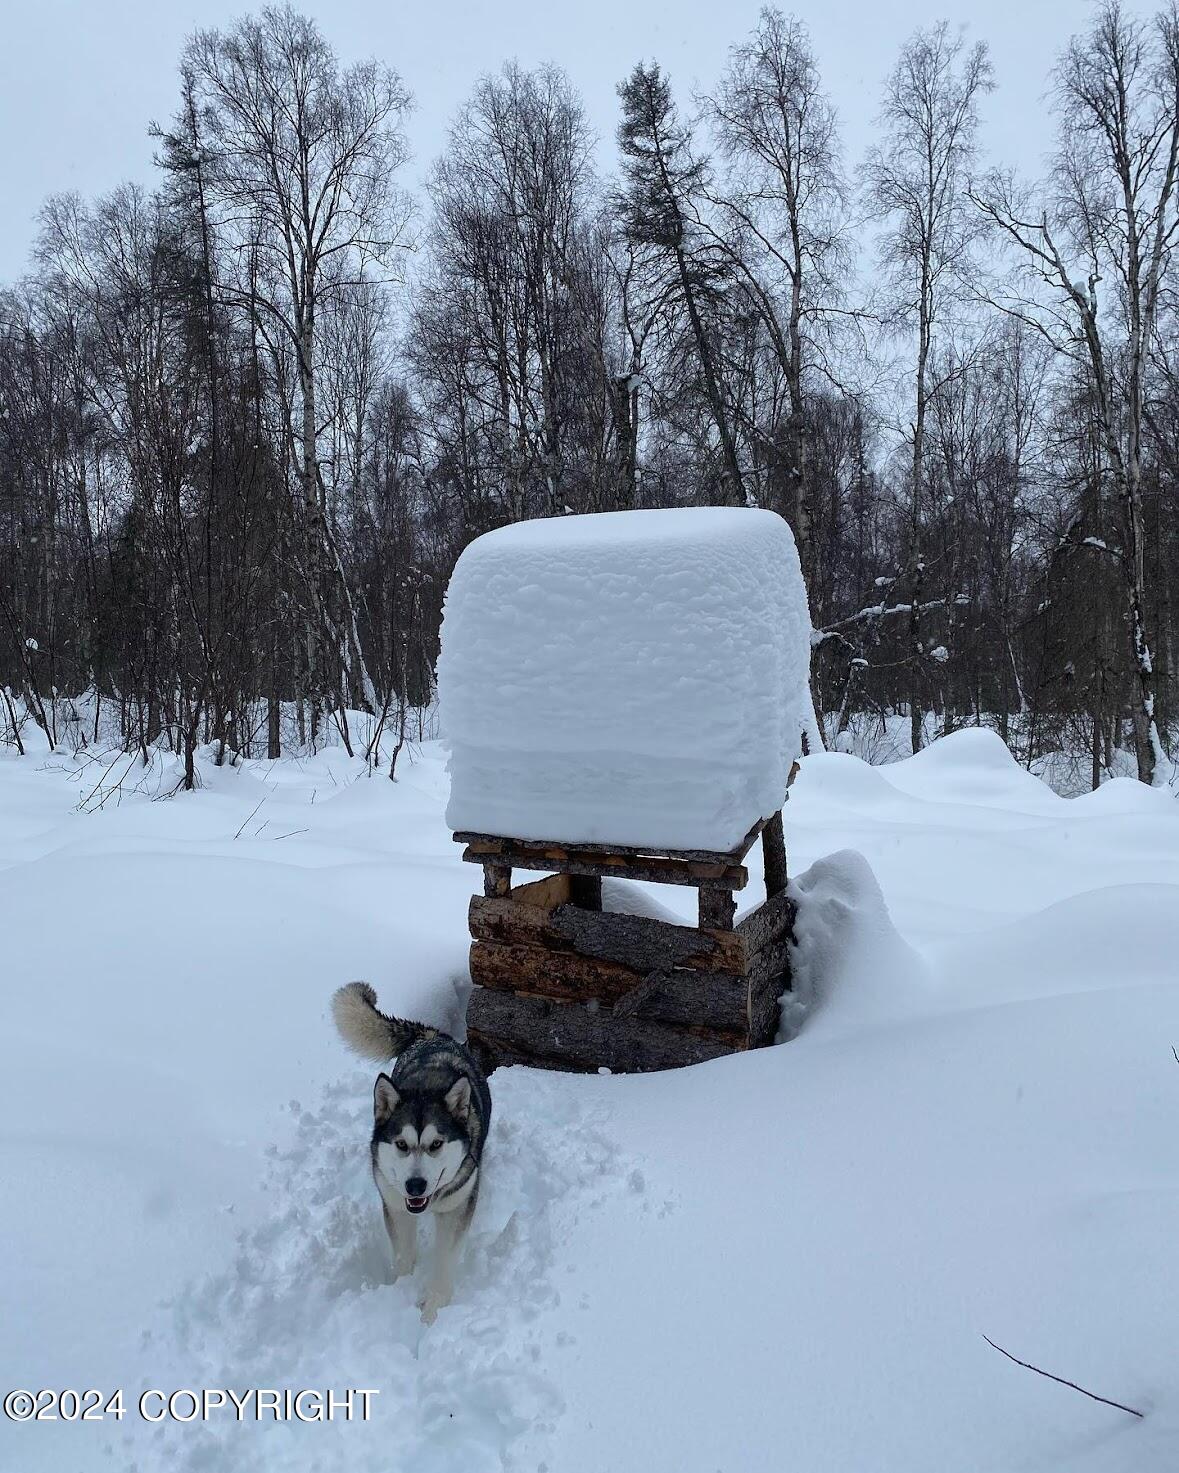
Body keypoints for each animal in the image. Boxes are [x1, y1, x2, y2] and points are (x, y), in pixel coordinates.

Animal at [328, 983, 489, 1319]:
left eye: (436, 1144)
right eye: (401, 1144)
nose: (415, 1185)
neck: (427, 1086)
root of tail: (432, 1034)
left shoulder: (456, 1208)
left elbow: (445, 1259)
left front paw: (433, 1311)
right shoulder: (394, 1204)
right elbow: (403, 1253)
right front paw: (400, 1288)